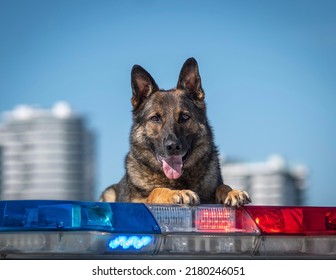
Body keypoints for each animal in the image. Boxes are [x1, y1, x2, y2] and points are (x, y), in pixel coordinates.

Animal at [101, 57, 251, 206]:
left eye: (184, 117)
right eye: (155, 118)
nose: (172, 146)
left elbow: (222, 186)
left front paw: (232, 191)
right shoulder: (138, 201)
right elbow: (157, 190)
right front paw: (177, 192)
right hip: (108, 193)